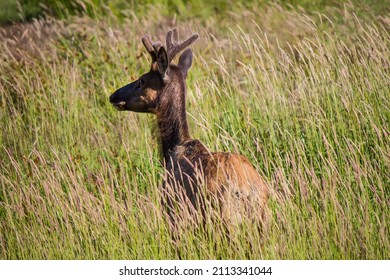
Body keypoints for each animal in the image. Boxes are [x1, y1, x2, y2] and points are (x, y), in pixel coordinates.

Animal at [109, 27, 268, 230]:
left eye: (141, 81)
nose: (113, 96)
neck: (172, 149)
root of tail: (247, 190)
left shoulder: (171, 207)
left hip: (221, 217)